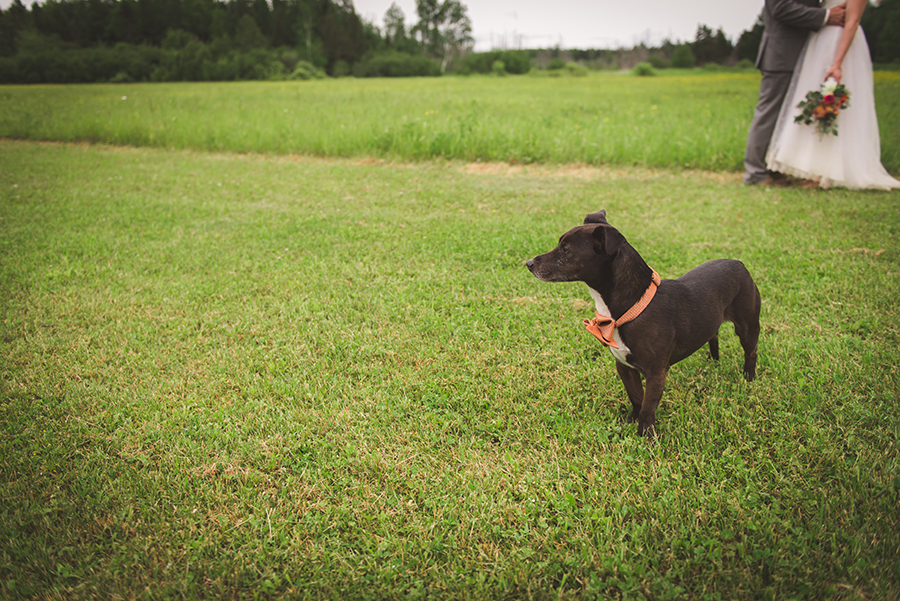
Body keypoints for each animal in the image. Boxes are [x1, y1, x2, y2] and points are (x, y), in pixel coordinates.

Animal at [528, 211, 760, 436]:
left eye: (566, 250)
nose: (528, 263)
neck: (632, 307)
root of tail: (739, 263)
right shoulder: (624, 366)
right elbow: (636, 397)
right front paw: (632, 420)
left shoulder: (656, 374)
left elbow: (649, 405)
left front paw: (646, 434)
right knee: (714, 334)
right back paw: (714, 360)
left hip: (747, 327)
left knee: (751, 352)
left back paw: (748, 378)